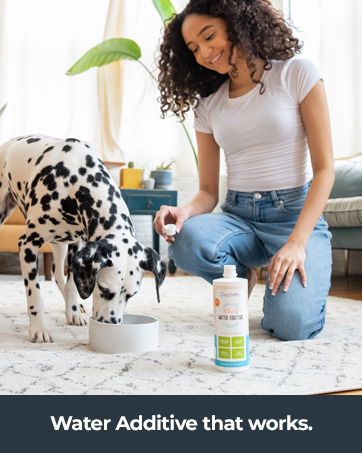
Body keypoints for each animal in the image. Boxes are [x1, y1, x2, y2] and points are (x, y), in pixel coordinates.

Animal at [0, 129, 167, 340]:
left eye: (131, 295)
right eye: (104, 289)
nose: (110, 323)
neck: (74, 179)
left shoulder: (77, 246)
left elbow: (72, 283)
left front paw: (73, 312)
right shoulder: (28, 244)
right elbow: (34, 292)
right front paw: (39, 328)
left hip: (61, 244)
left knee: (57, 273)